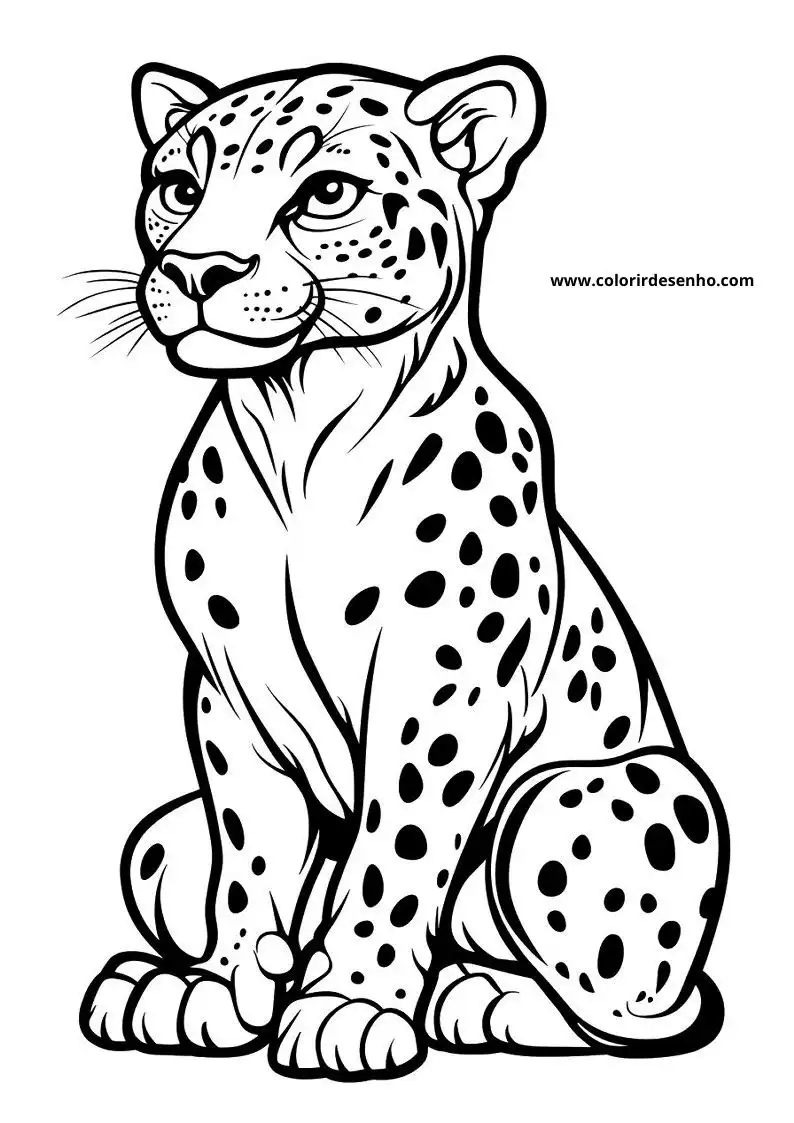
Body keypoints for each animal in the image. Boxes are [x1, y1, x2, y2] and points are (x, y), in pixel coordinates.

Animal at [77, 56, 729, 1081]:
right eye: (179, 190)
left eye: (325, 193)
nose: (196, 270)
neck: (302, 422)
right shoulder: (226, 689)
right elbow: (248, 852)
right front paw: (220, 986)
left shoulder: (444, 683)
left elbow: (403, 846)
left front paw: (347, 1002)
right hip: (160, 839)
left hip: (587, 794)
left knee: (623, 1004)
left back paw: (485, 999)